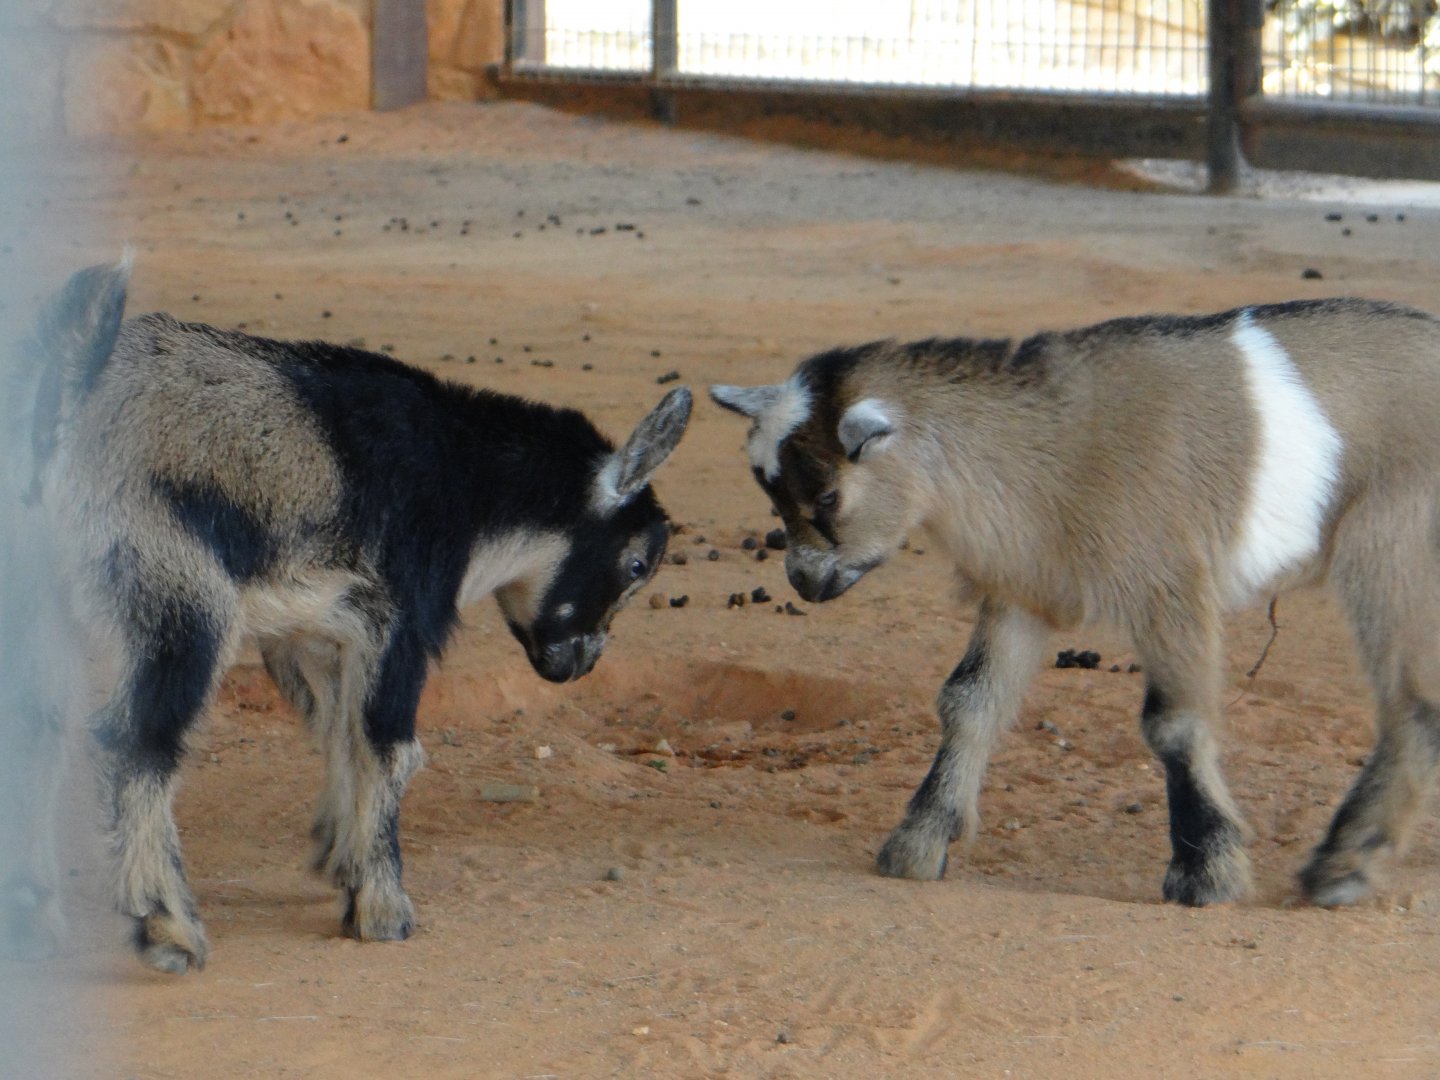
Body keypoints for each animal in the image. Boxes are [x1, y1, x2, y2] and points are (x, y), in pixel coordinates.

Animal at [35, 262, 691, 973]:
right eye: (636, 565)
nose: (579, 663)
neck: (467, 484)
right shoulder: (401, 617)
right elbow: (388, 748)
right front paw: (381, 909)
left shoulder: (314, 631)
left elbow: (336, 730)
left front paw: (338, 858)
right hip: (179, 596)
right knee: (134, 739)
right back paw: (166, 927)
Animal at [713, 299, 1440, 908]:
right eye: (771, 491)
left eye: (827, 496)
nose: (805, 581)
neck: (1056, 445)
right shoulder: (1025, 590)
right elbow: (969, 700)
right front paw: (917, 844)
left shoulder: (1168, 585)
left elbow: (1174, 723)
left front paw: (1207, 874)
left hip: (1393, 547)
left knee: (1413, 703)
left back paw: (1342, 867)